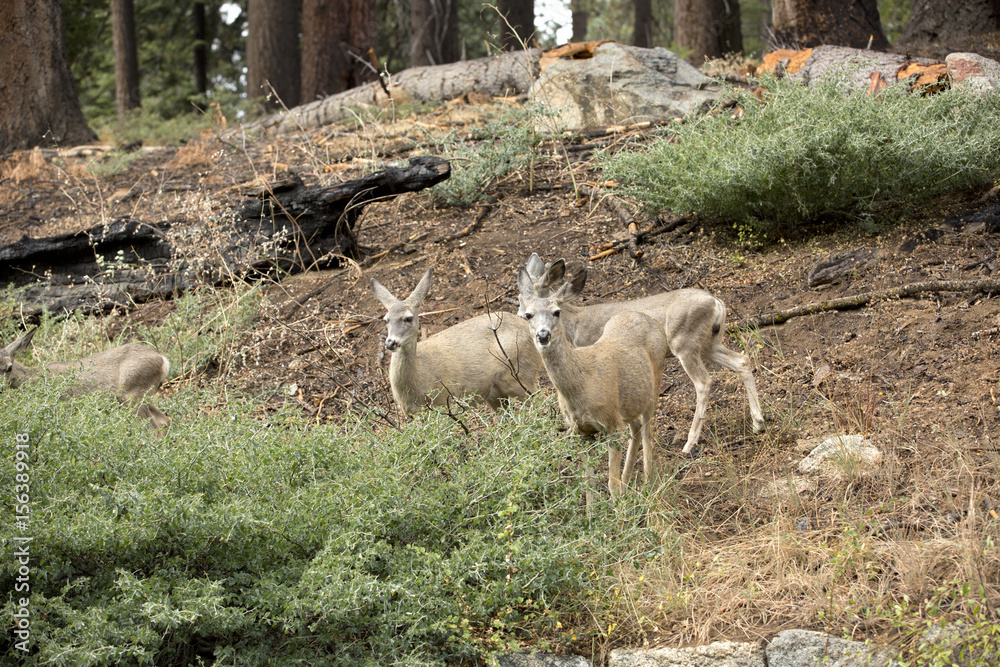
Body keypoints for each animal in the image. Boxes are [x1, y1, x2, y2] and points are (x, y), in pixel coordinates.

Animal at [1, 327, 171, 429]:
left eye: (9, 367)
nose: (1, 388)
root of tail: (163, 359)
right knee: (165, 420)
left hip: (132, 394)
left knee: (155, 427)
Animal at [370, 267, 543, 416]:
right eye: (386, 319)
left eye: (408, 318)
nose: (390, 343)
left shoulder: (445, 401)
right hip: (495, 392)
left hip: (519, 373)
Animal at [518, 253, 765, 456]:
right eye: (521, 298)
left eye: (534, 300)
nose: (521, 315)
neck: (574, 326)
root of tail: (717, 302)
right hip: (708, 343)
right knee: (742, 360)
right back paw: (758, 423)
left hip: (683, 341)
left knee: (704, 382)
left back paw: (689, 443)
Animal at [518, 266, 669, 494]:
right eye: (528, 315)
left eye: (557, 311)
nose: (543, 335)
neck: (582, 387)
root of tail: (649, 319)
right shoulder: (580, 431)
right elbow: (588, 481)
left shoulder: (611, 423)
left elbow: (611, 484)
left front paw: (619, 501)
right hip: (630, 401)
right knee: (636, 427)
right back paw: (627, 482)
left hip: (655, 383)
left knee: (648, 432)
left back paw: (648, 484)